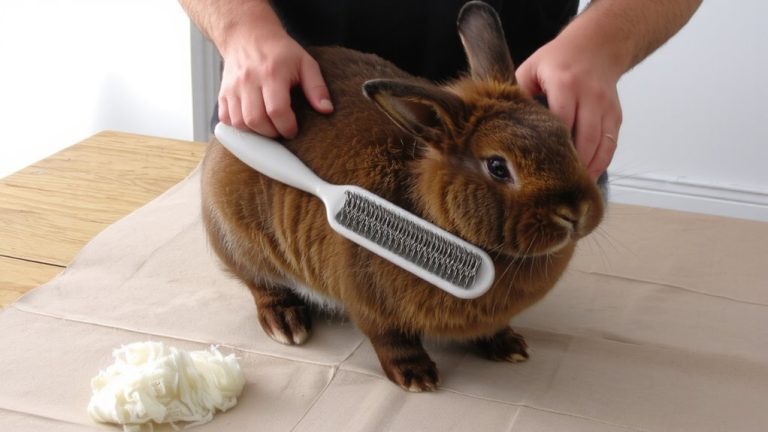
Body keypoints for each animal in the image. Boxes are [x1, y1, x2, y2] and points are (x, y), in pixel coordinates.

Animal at [201, 1, 604, 392]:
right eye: (498, 167)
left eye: (565, 136)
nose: (576, 212)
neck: (437, 219)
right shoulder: (370, 299)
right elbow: (390, 338)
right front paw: (417, 376)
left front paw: (509, 345)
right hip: (243, 241)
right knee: (259, 282)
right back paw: (285, 322)